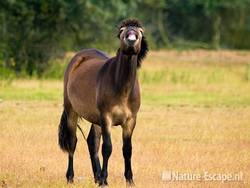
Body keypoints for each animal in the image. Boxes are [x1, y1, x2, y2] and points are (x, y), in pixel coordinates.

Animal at [58, 18, 148, 186]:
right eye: (122, 31)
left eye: (139, 32)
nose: (131, 40)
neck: (122, 88)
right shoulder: (106, 118)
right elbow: (107, 148)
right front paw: (105, 181)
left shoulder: (130, 120)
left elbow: (127, 149)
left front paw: (129, 180)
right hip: (72, 112)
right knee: (72, 142)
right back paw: (71, 177)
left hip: (96, 120)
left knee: (92, 142)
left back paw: (97, 176)